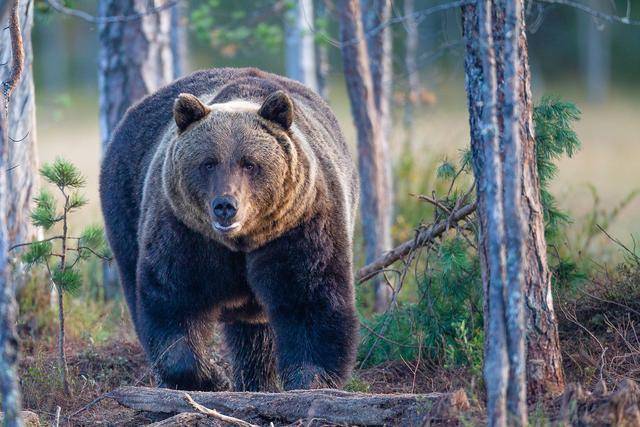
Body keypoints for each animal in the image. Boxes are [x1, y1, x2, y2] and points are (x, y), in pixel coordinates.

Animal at [100, 68, 360, 392]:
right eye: (208, 163)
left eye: (250, 164)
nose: (225, 206)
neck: (242, 241)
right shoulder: (186, 232)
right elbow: (173, 300)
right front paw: (211, 378)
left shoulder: (300, 226)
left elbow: (311, 298)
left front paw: (310, 379)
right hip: (125, 200)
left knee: (254, 331)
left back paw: (257, 381)